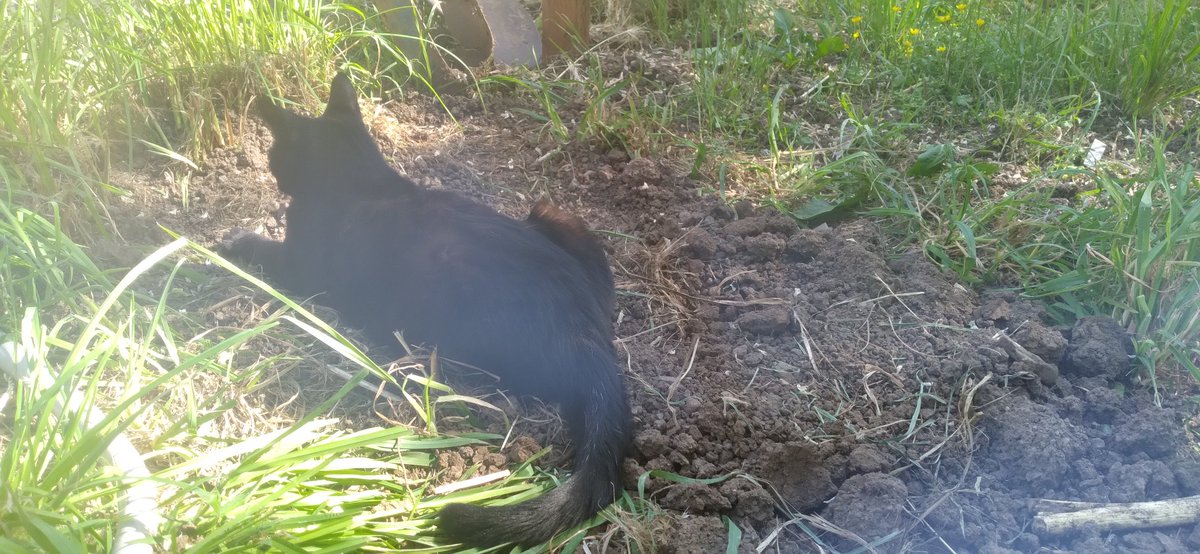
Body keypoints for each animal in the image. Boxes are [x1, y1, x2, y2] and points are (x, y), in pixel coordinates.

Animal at [226, 73, 638, 544]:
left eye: (275, 153)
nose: (271, 168)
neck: (360, 179)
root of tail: (590, 336)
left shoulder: (301, 269)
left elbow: (265, 250)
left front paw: (236, 241)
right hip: (554, 214)